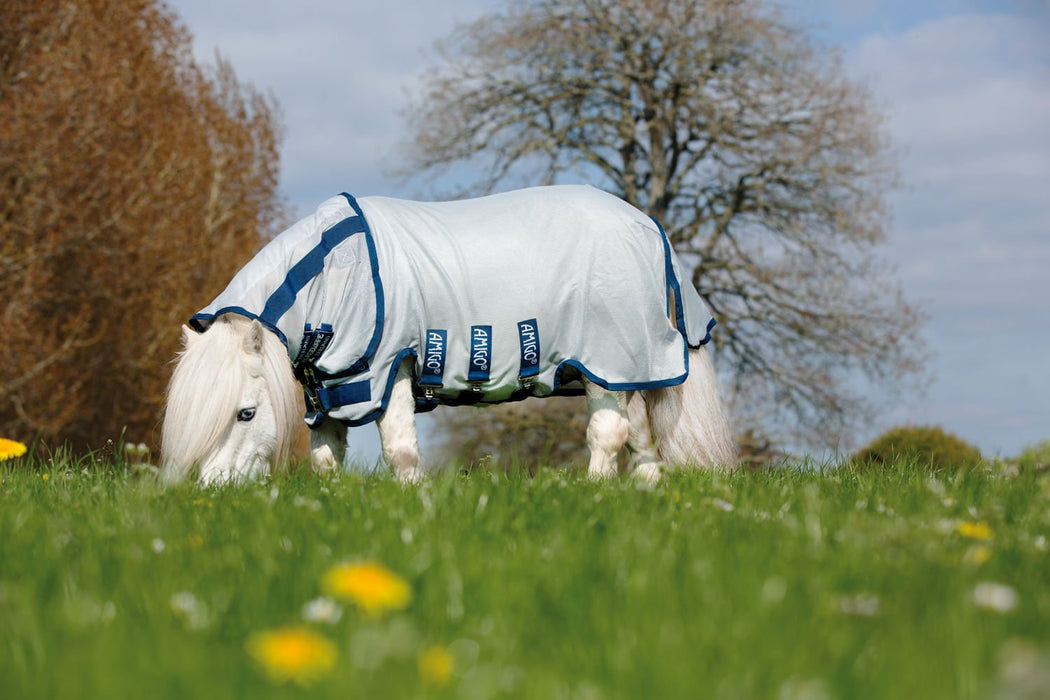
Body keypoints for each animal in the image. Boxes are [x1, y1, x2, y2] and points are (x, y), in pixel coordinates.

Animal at [159, 183, 734, 484]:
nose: (214, 493)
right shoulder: (333, 390)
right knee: (640, 439)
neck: (334, 272)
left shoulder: (388, 370)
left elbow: (400, 452)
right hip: (623, 372)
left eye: (246, 413)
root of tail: (648, 226)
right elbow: (325, 461)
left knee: (608, 433)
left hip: (603, 364)